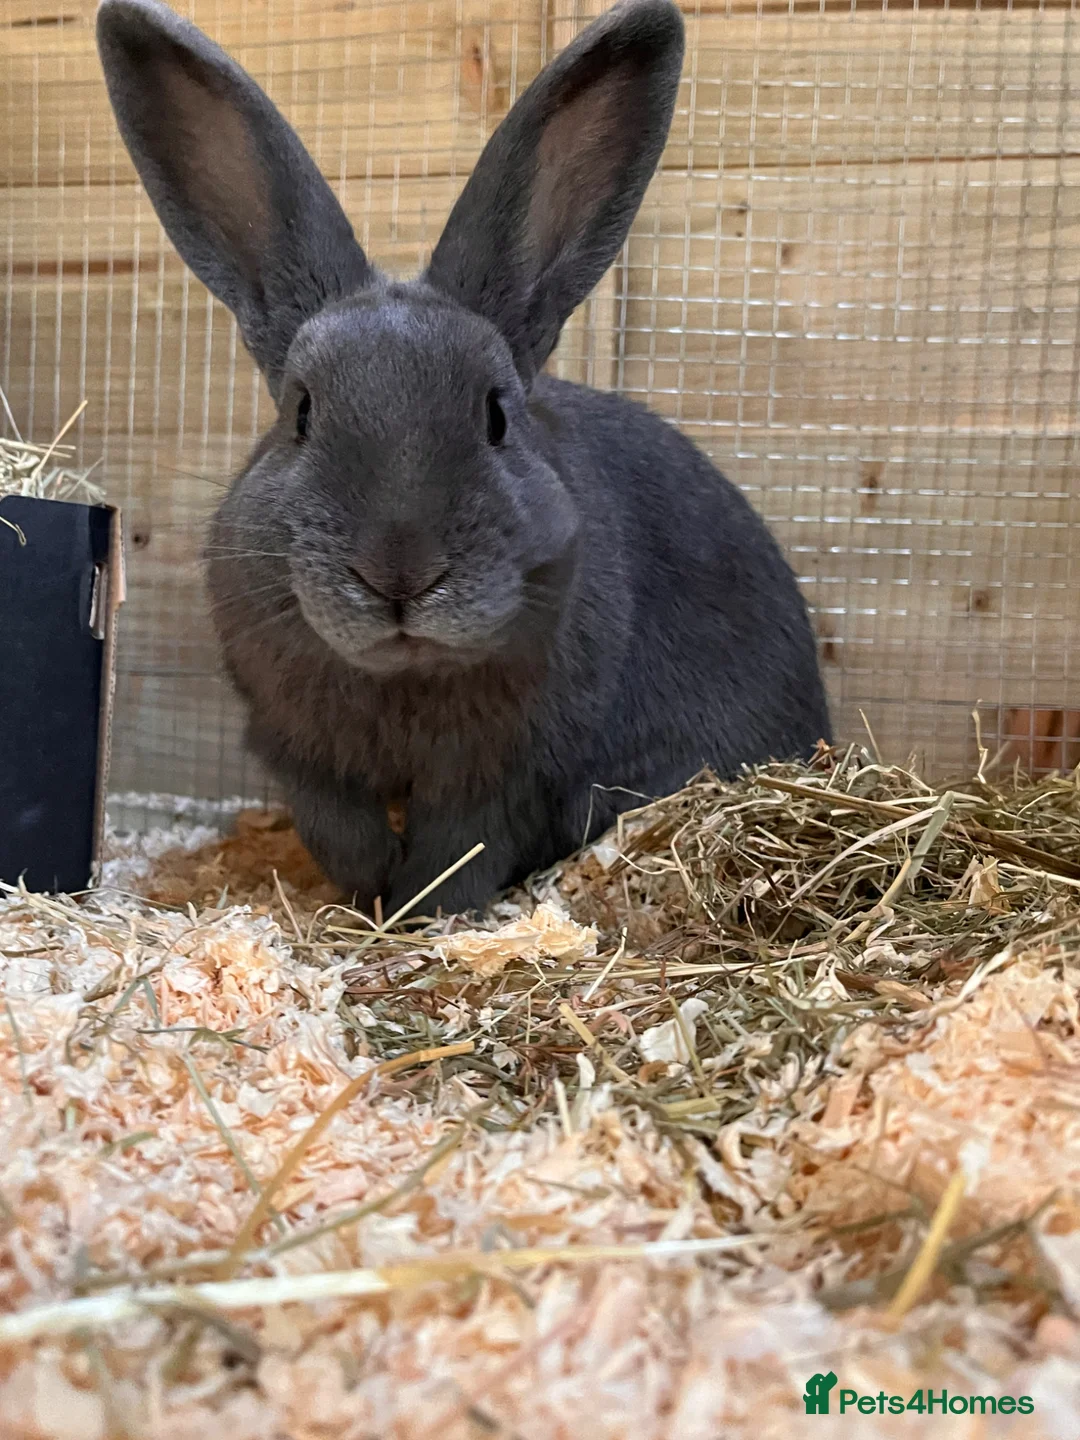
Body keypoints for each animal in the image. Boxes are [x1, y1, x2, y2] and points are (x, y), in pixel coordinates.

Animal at [97, 0, 831, 916]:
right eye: (301, 412)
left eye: (496, 417)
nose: (399, 575)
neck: (404, 678)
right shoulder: (301, 754)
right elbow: (340, 830)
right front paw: (368, 896)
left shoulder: (508, 773)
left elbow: (461, 849)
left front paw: (419, 912)